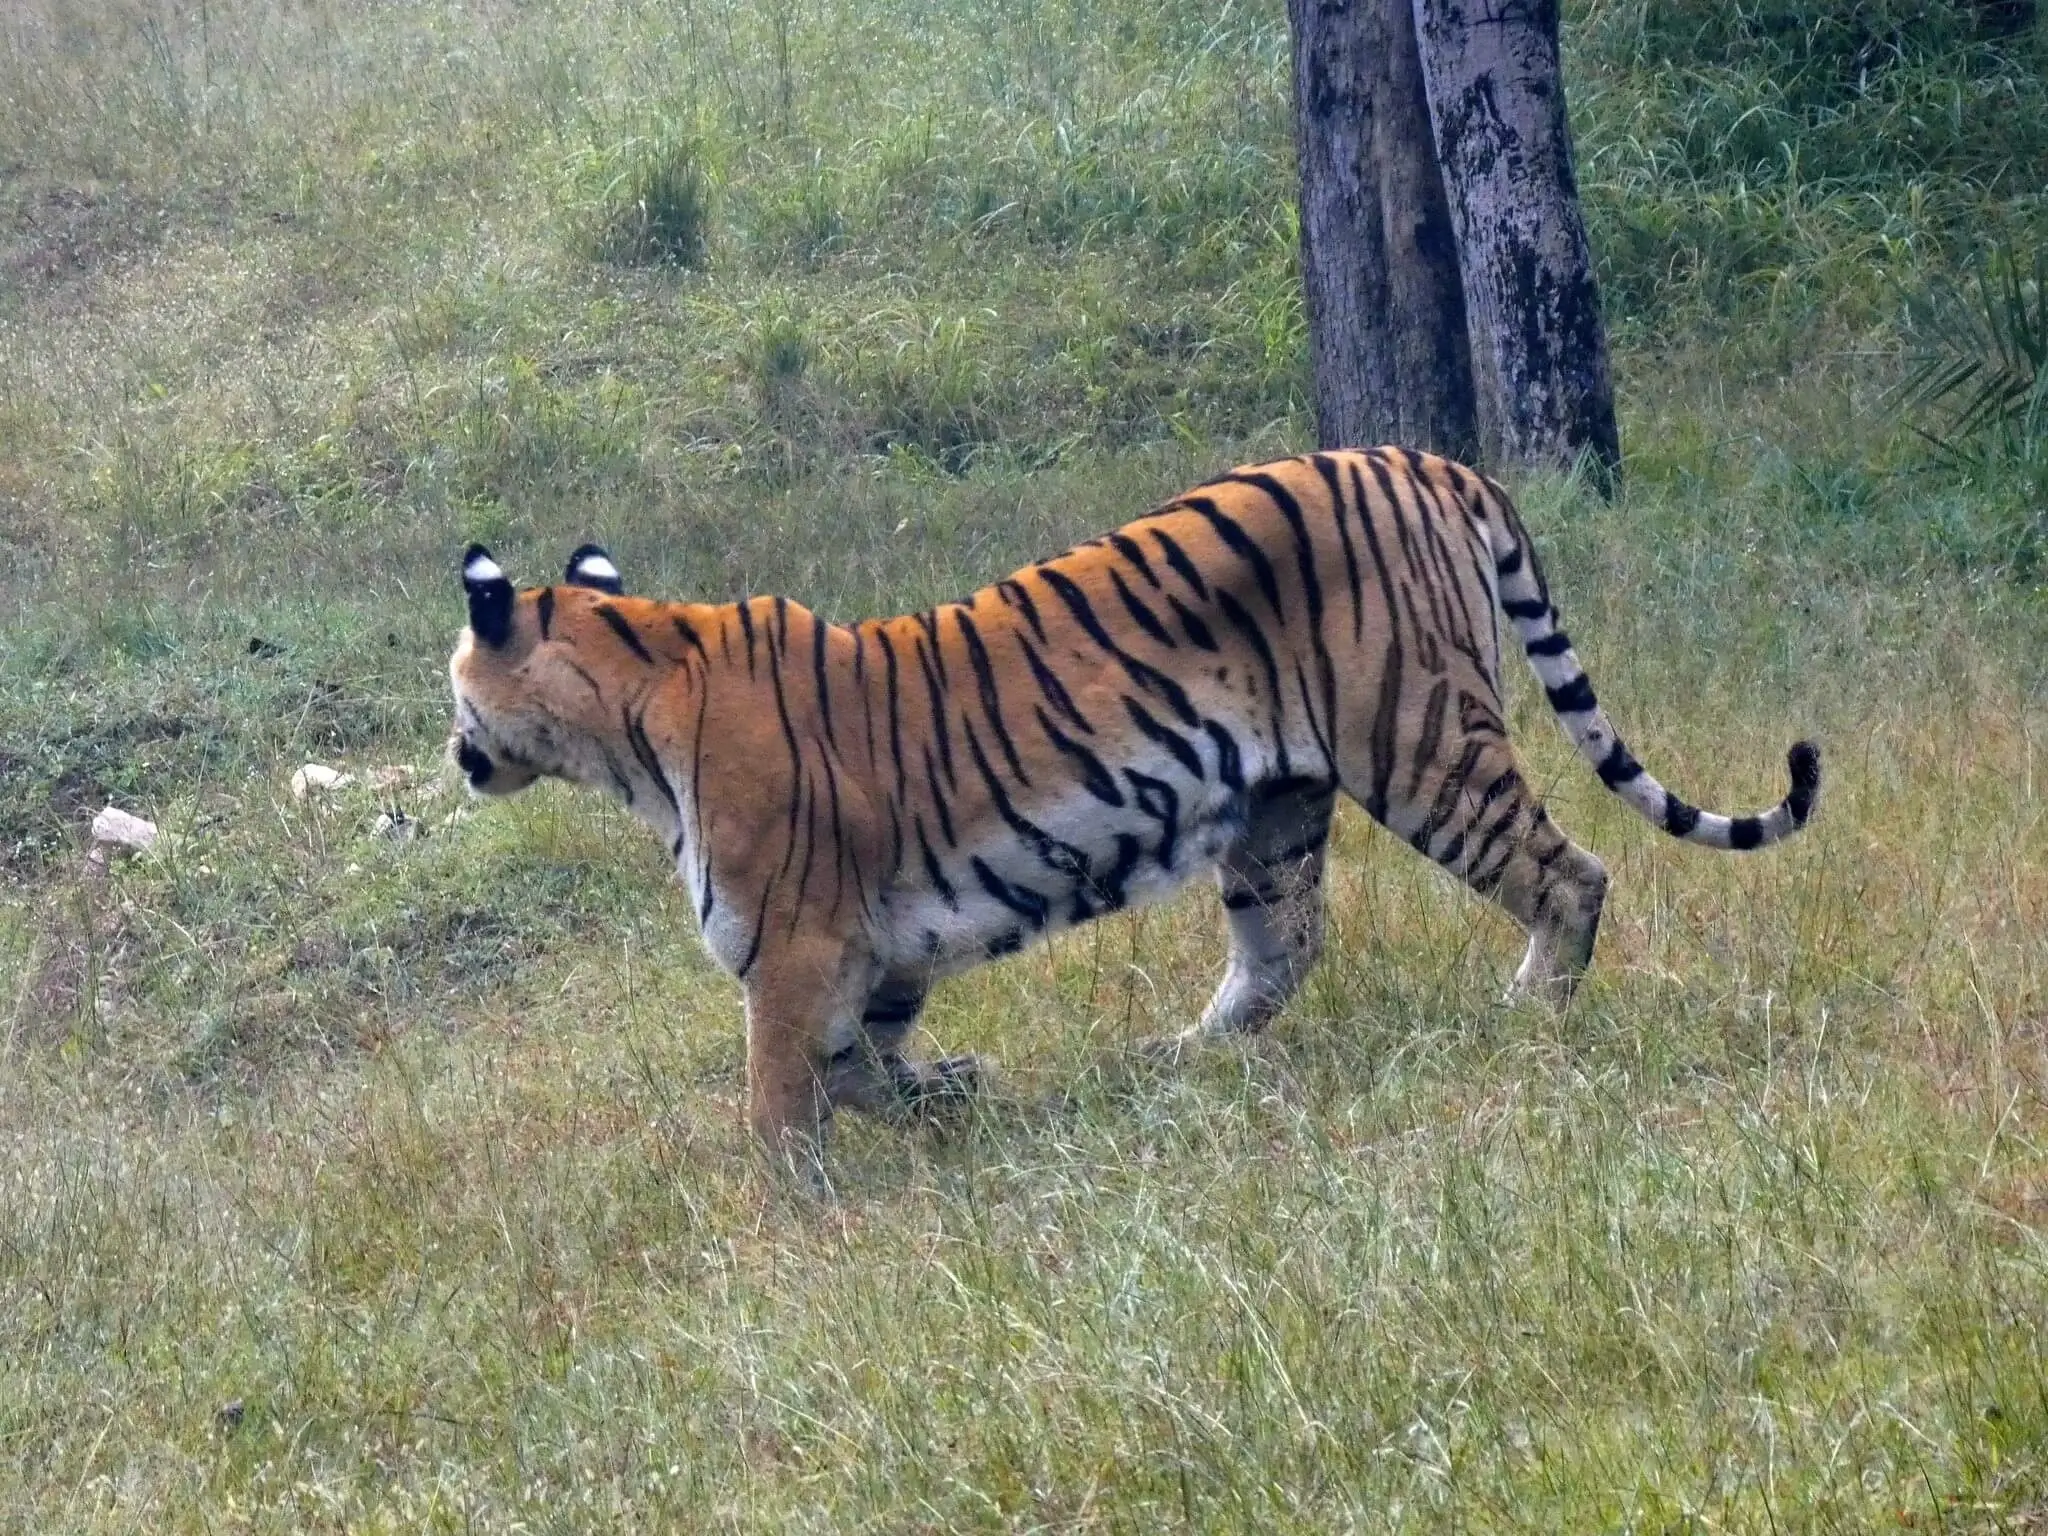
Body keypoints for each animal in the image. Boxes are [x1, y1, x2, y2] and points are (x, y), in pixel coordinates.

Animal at [448, 448, 1819, 1172]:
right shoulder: (872, 952)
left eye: (453, 689)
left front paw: (782, 1204)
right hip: (1273, 809)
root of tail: (1422, 457)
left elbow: (783, 1097)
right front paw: (951, 1094)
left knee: (1568, 872)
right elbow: (870, 1061)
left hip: (1421, 742)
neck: (627, 698)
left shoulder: (791, 947)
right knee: (1285, 948)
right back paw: (1178, 1062)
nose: (457, 756)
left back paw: (1530, 1015)